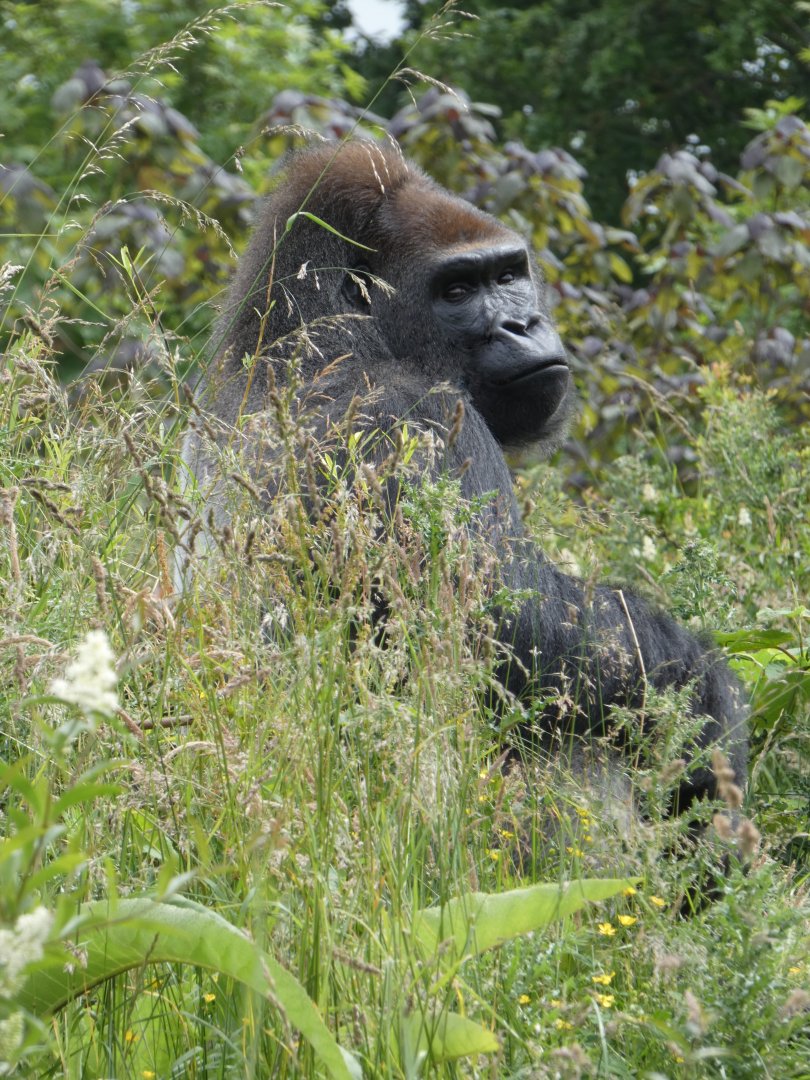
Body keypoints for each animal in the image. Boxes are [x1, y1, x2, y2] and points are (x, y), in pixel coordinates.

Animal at [183, 139, 747, 815]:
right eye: (455, 290)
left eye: (507, 275)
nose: (521, 325)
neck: (319, 325)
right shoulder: (408, 414)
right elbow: (508, 625)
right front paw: (705, 690)